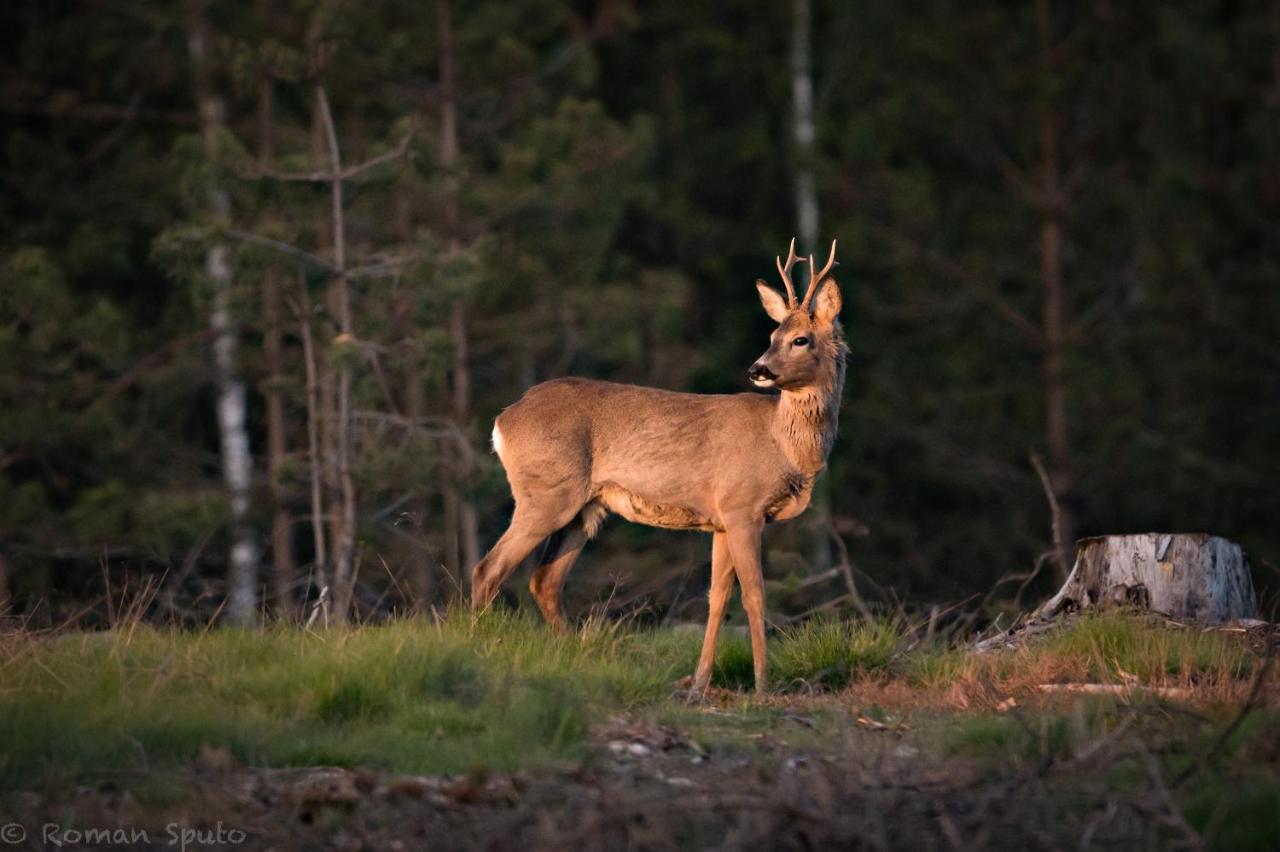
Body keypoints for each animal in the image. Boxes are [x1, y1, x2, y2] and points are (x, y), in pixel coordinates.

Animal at [476, 236, 844, 690]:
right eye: (774, 333)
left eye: (800, 339)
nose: (757, 369)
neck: (785, 446)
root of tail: (502, 420)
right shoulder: (741, 506)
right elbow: (754, 595)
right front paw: (762, 684)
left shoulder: (720, 519)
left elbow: (717, 598)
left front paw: (700, 682)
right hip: (545, 493)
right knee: (489, 569)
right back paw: (478, 643)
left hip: (583, 507)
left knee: (544, 581)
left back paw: (581, 655)